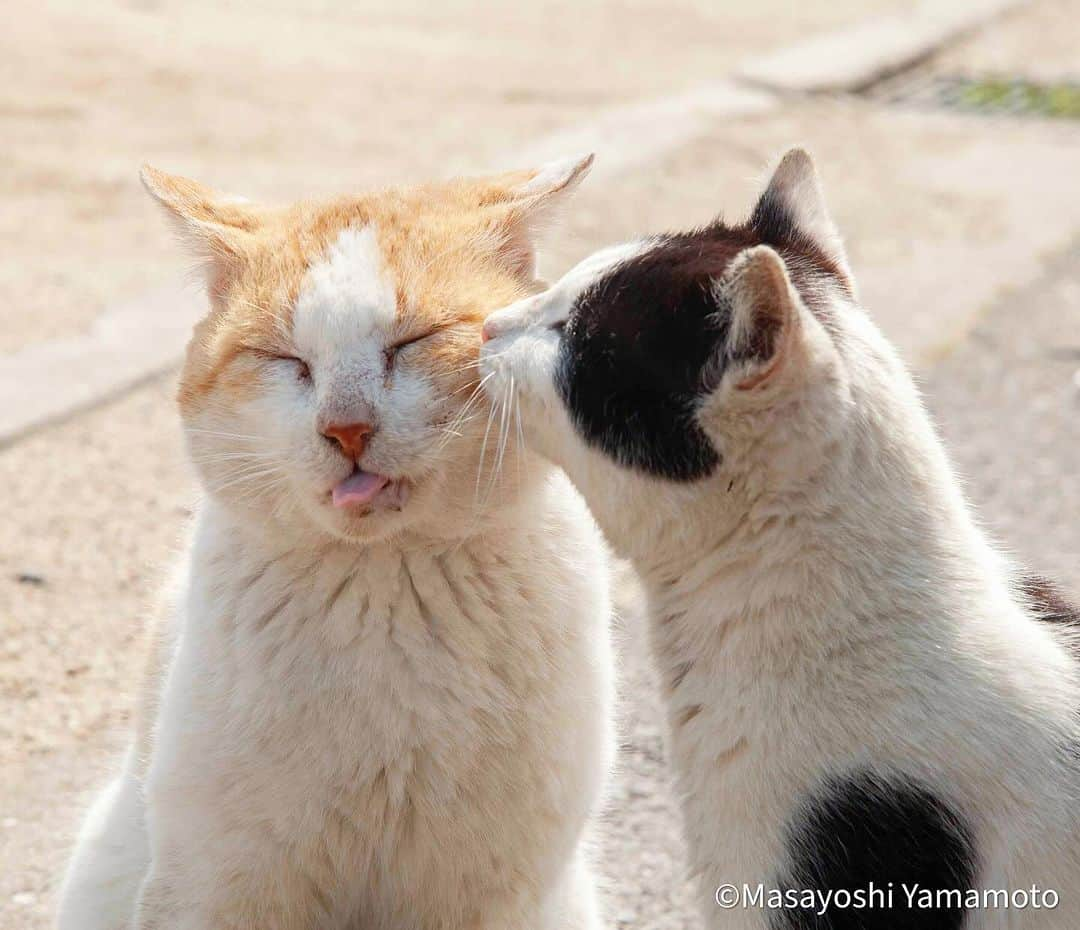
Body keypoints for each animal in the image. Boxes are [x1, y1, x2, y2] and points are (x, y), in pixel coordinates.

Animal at [56, 157, 617, 928]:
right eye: (286, 359)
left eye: (413, 342)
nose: (345, 428)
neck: (385, 589)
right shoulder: (216, 882)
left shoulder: (487, 892)